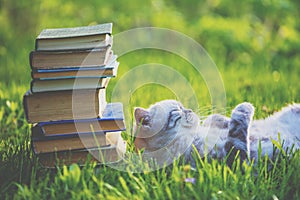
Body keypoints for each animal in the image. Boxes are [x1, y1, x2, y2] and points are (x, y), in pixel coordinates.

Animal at [134, 100, 300, 167]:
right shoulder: (235, 159)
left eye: (183, 106)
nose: (190, 110)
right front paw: (244, 108)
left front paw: (222, 120)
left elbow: (213, 119)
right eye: (177, 111)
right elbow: (238, 123)